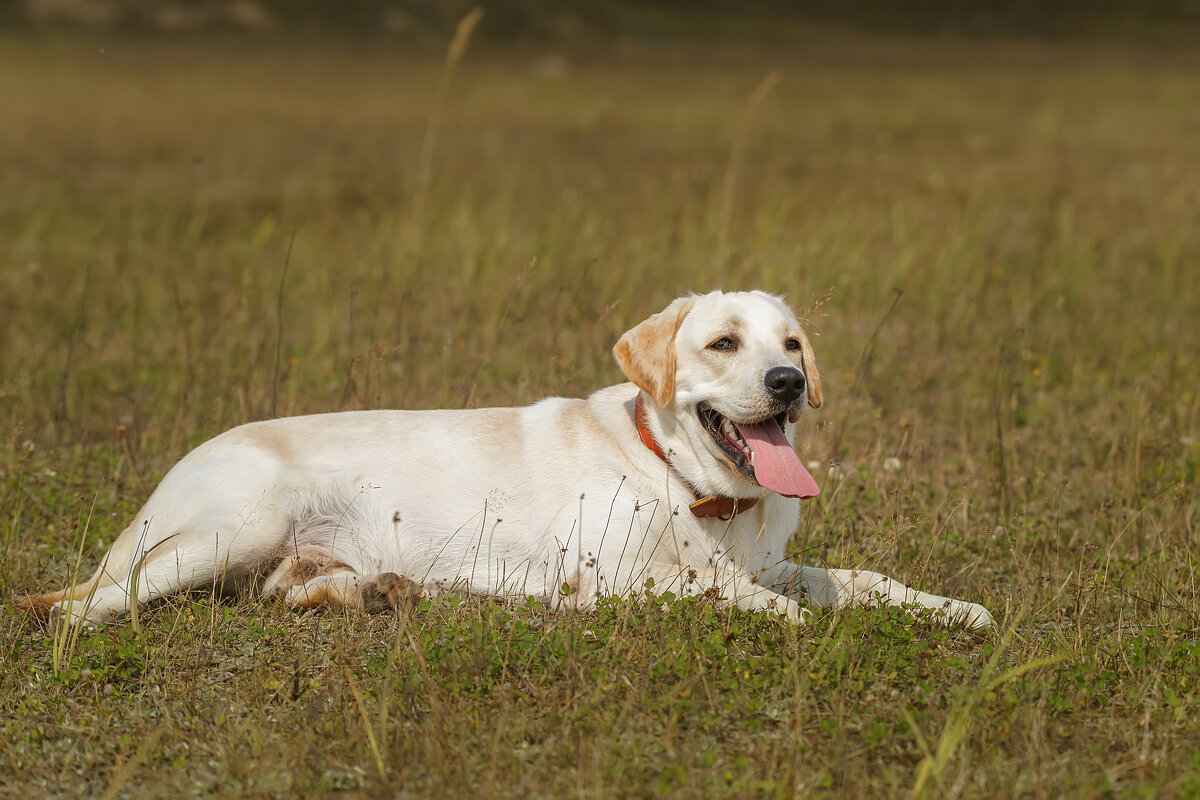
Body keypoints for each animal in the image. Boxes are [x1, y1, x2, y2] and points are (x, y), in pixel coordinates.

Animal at [16, 289, 993, 633]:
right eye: (723, 343)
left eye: (791, 343)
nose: (788, 382)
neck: (692, 490)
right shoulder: (611, 577)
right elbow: (728, 589)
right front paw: (788, 623)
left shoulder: (777, 559)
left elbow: (858, 580)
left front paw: (949, 608)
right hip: (236, 525)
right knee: (88, 604)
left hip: (279, 555)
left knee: (285, 590)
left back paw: (376, 591)